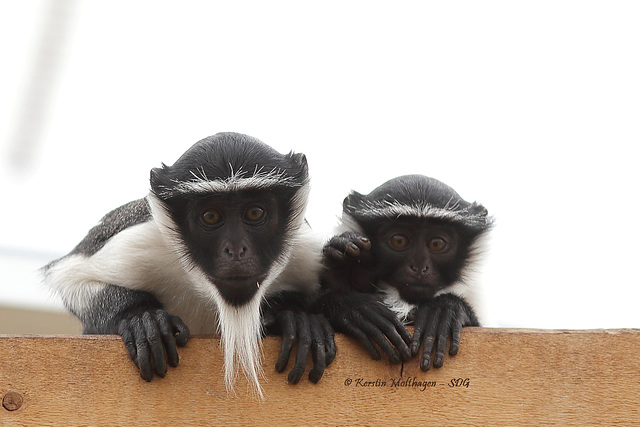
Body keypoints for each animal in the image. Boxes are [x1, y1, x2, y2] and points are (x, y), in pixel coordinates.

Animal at [44, 133, 336, 398]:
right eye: (211, 216)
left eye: (255, 212)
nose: (235, 249)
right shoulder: (143, 237)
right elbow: (70, 276)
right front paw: (142, 317)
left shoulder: (305, 250)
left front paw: (295, 316)